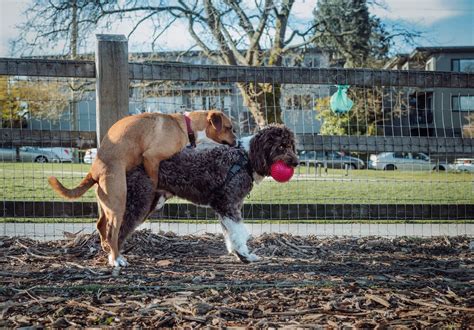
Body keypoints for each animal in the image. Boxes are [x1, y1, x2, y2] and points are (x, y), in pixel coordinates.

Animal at [48, 110, 235, 266]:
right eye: (229, 127)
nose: (236, 142)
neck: (185, 126)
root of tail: (94, 171)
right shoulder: (151, 158)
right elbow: (154, 179)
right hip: (118, 204)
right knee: (113, 233)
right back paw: (116, 259)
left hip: (106, 205)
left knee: (101, 225)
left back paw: (107, 248)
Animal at [114, 124, 296, 266]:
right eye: (281, 146)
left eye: (291, 145)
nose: (296, 162)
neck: (246, 158)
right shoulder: (228, 204)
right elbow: (238, 232)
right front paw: (244, 255)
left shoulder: (227, 207)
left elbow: (229, 233)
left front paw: (235, 252)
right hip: (138, 200)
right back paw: (116, 259)